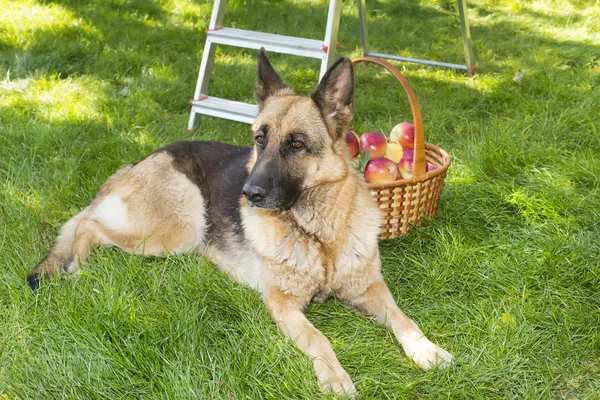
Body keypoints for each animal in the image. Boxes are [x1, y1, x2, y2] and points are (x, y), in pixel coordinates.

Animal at [27, 48, 450, 396]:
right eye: (260, 139)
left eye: (297, 144)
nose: (248, 193)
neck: (318, 234)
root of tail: (137, 161)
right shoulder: (283, 306)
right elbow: (319, 339)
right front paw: (335, 377)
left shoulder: (371, 289)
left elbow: (404, 319)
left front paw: (427, 350)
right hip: (180, 226)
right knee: (89, 225)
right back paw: (78, 268)